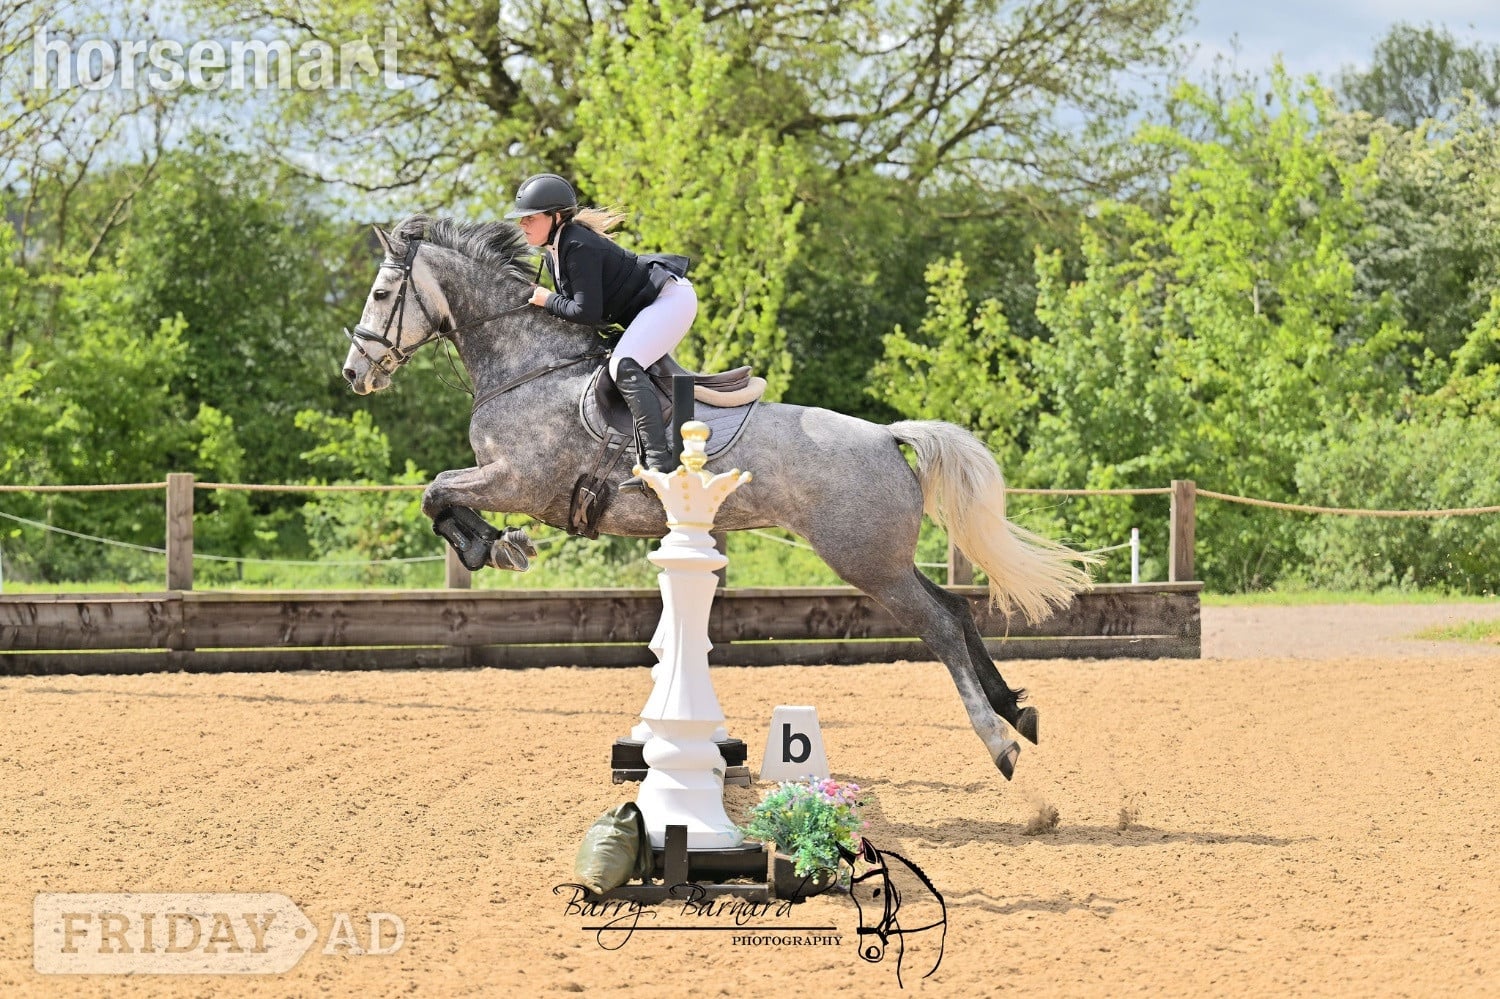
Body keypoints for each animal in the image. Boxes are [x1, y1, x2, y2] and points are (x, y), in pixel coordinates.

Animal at [339, 215, 1095, 780]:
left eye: (380, 294)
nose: (354, 374)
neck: (528, 365)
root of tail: (886, 436)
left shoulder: (521, 480)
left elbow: (435, 493)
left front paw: (492, 547)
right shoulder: (505, 479)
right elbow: (438, 495)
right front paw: (497, 545)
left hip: (864, 560)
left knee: (937, 625)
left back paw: (999, 742)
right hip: (883, 557)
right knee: (958, 611)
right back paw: (1017, 711)